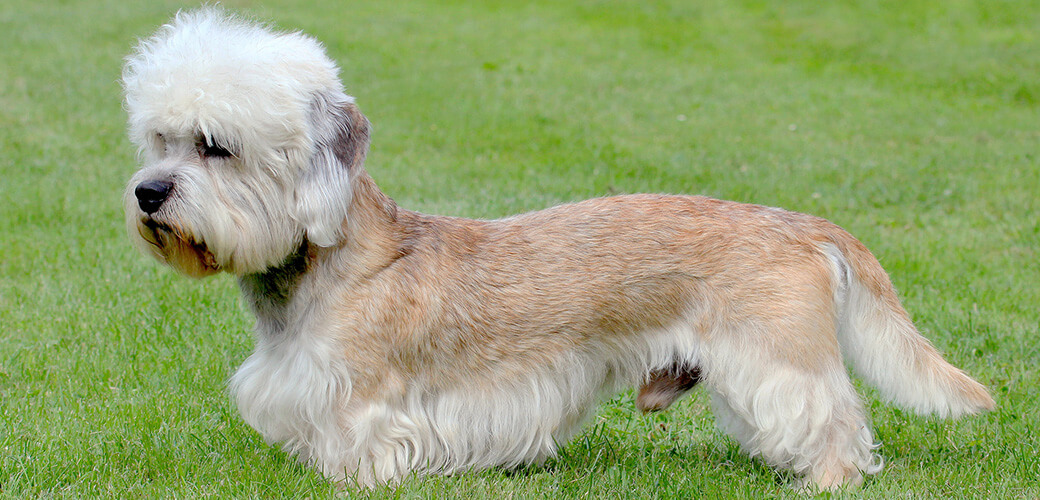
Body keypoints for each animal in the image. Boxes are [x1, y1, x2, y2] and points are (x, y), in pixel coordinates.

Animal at [125, 8, 994, 490]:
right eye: (159, 140)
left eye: (216, 147)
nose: (148, 194)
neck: (331, 261)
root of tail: (802, 223)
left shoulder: (364, 402)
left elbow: (361, 447)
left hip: (779, 361)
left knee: (834, 418)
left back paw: (827, 480)